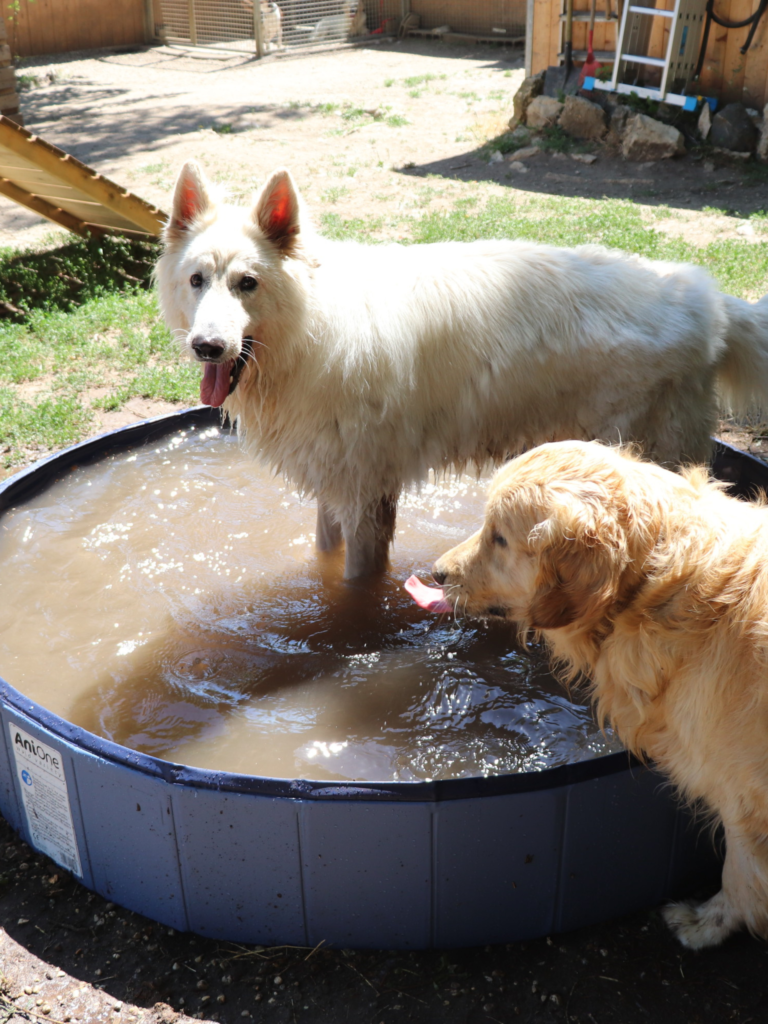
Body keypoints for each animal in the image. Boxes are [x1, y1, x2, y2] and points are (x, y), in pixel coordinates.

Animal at [153, 159, 768, 577]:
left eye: (247, 283)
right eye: (197, 280)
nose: (207, 347)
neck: (313, 327)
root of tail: (708, 298)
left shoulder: (368, 498)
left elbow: (355, 589)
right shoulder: (335, 485)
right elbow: (324, 559)